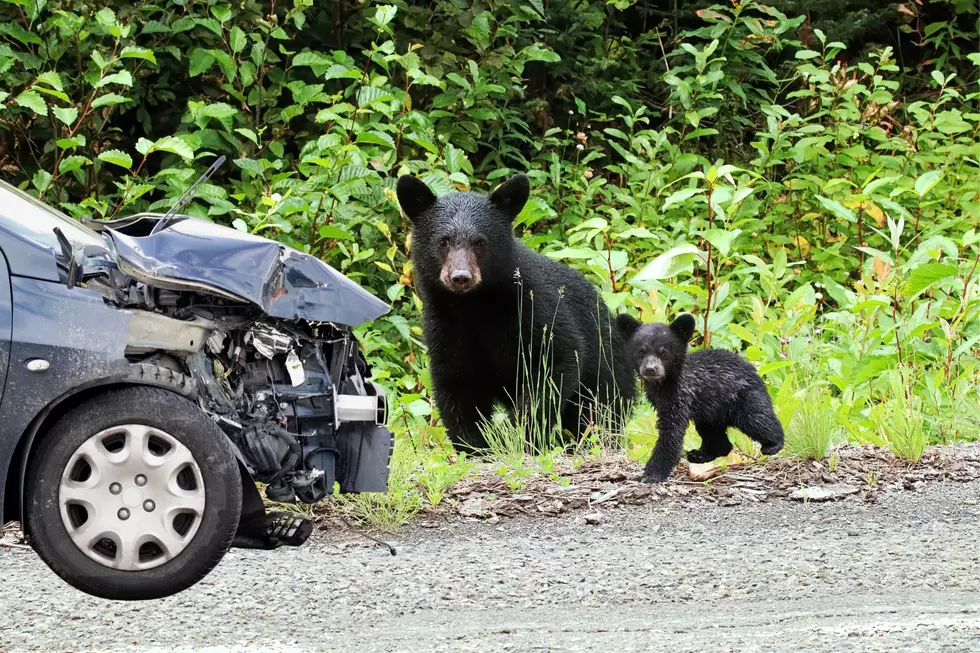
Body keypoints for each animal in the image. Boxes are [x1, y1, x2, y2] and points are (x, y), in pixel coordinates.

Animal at [396, 173, 635, 450]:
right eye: (443, 241)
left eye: (480, 242)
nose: (461, 277)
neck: (474, 306)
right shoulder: (445, 327)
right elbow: (457, 386)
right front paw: (476, 446)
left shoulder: (532, 307)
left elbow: (557, 360)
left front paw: (516, 434)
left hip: (608, 368)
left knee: (602, 407)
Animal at [615, 312, 784, 483]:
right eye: (641, 351)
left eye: (663, 352)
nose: (650, 369)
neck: (663, 385)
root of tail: (753, 369)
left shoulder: (680, 396)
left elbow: (671, 433)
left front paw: (653, 473)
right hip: (711, 412)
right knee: (714, 434)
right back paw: (700, 454)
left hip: (744, 397)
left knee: (757, 419)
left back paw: (774, 444)